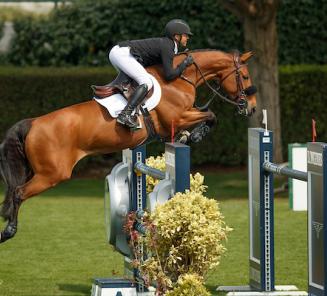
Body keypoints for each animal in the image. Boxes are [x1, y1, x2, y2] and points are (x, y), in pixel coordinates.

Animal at [0, 49, 256, 243]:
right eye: (245, 76)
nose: (252, 108)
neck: (180, 79)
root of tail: (33, 123)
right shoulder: (179, 116)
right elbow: (211, 115)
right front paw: (193, 136)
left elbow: (206, 116)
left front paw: (186, 136)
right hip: (52, 174)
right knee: (18, 193)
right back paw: (8, 232)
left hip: (36, 171)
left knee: (14, 192)